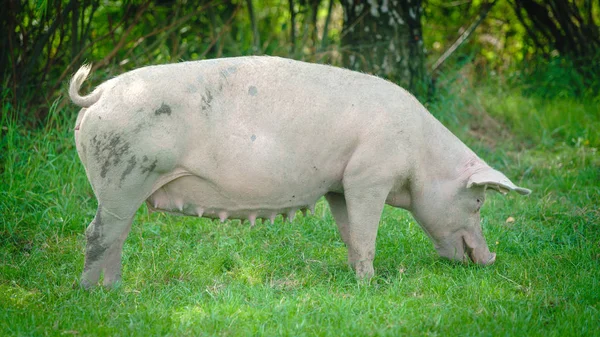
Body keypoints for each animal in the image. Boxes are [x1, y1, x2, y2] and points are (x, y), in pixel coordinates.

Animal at [68, 55, 532, 286]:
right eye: (477, 201)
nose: (491, 259)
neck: (420, 155)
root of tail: (99, 93)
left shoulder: (340, 185)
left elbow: (350, 233)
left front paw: (356, 279)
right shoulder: (369, 177)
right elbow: (367, 234)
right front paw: (372, 284)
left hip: (121, 184)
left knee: (114, 236)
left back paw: (114, 289)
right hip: (123, 176)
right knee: (97, 233)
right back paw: (95, 293)